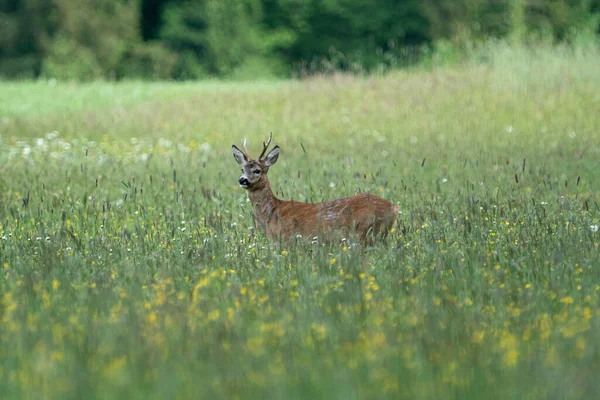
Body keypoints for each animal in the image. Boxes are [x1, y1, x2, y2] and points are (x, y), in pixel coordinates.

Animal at [232, 133, 400, 242]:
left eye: (257, 170)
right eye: (242, 169)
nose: (242, 180)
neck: (273, 213)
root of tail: (394, 207)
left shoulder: (288, 240)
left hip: (365, 233)